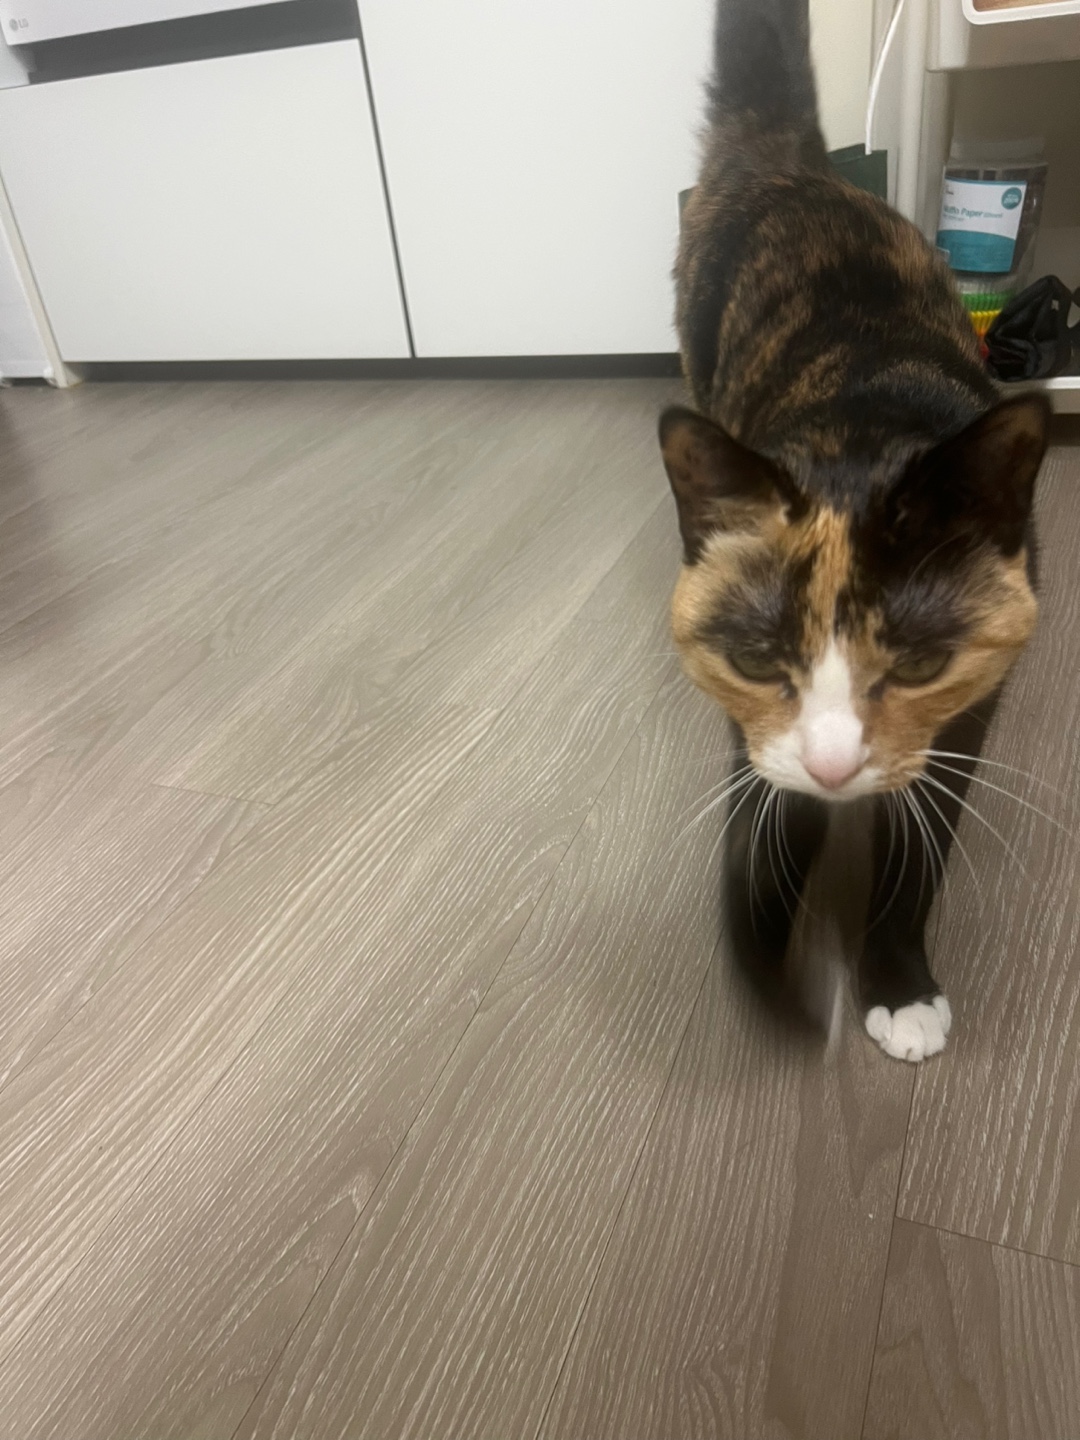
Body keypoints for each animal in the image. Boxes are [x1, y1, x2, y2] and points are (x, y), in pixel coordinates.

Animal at [661, 0, 1052, 1060]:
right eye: (759, 659)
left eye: (918, 664)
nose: (838, 767)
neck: (862, 431)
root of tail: (792, 165)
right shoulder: (758, 733)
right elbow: (769, 824)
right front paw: (768, 964)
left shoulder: (964, 723)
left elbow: (918, 862)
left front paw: (900, 984)